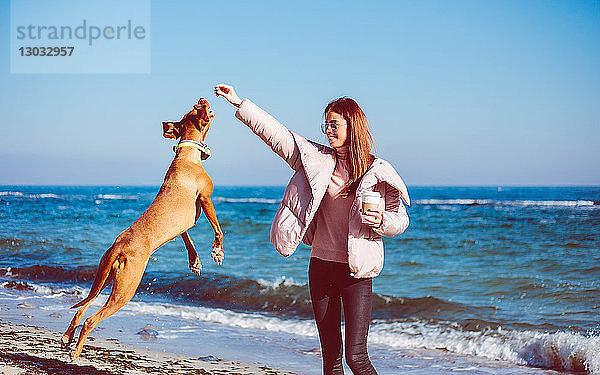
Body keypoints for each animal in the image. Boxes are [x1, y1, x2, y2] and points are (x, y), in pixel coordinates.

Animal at [62, 98, 224, 360]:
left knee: (82, 307)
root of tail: (118, 246)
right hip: (126, 288)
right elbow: (218, 228)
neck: (186, 155)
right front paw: (217, 251)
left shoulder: (183, 225)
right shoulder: (206, 198)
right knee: (91, 319)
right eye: (197, 109)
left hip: (104, 278)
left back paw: (67, 337)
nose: (203, 99)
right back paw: (76, 351)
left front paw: (195, 262)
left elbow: (188, 239)